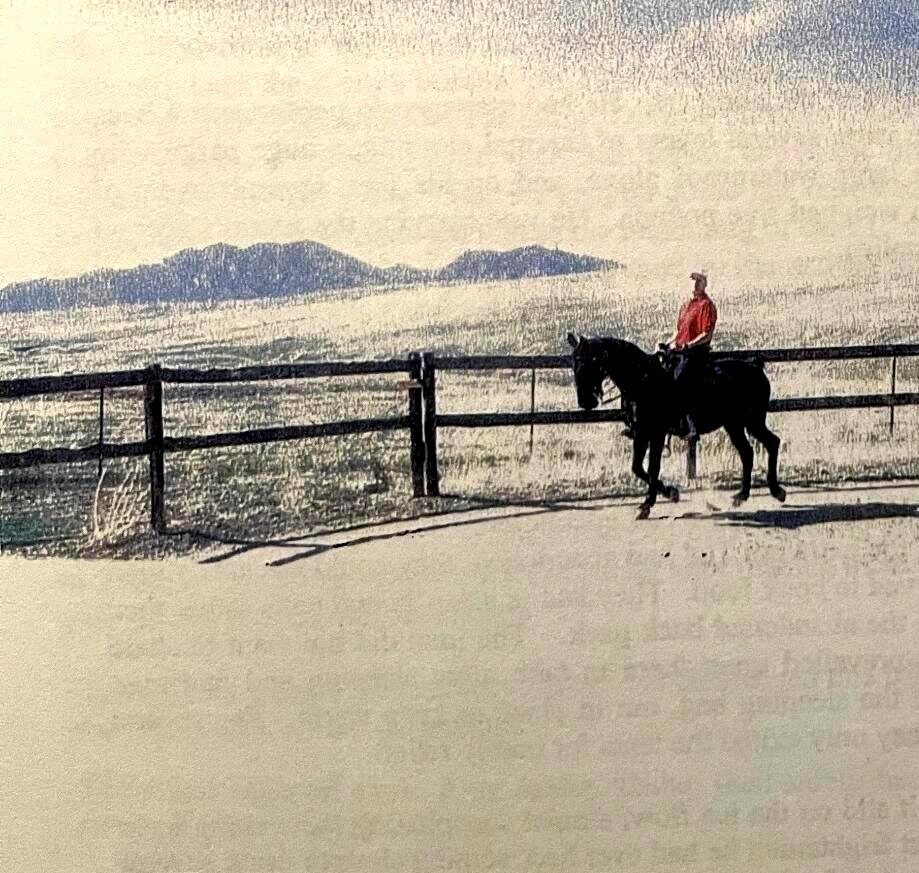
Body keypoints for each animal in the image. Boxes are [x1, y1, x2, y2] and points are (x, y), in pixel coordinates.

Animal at [566, 333, 786, 520]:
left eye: (590, 362)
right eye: (574, 362)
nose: (585, 401)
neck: (643, 381)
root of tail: (755, 366)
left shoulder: (656, 433)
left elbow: (652, 467)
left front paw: (653, 501)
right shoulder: (641, 433)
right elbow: (638, 467)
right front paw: (665, 495)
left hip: (752, 421)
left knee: (770, 444)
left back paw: (775, 491)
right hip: (735, 424)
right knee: (749, 451)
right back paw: (742, 495)